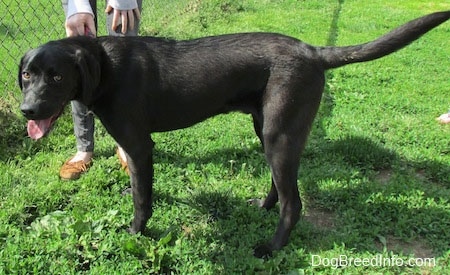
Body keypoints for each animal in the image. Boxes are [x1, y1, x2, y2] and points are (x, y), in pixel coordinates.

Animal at [19, 11, 448, 258]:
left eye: (56, 77)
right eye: (26, 74)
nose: (27, 110)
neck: (105, 67)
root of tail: (313, 51)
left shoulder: (140, 146)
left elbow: (142, 200)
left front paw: (135, 233)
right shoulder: (140, 151)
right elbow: (142, 187)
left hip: (279, 133)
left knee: (295, 202)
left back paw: (271, 248)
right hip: (268, 130)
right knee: (280, 185)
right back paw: (263, 206)